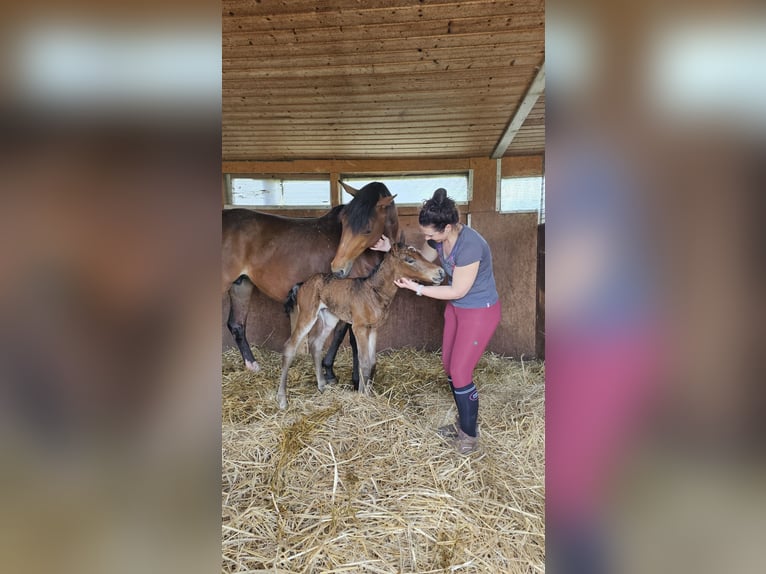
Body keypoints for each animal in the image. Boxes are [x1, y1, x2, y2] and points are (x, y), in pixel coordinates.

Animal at [222, 182, 400, 376]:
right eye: (343, 224)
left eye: (367, 229)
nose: (338, 268)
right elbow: (351, 339)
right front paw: (352, 376)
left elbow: (340, 334)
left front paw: (330, 370)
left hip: (241, 285)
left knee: (237, 325)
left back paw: (252, 365)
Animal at [278, 241, 444, 412]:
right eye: (409, 260)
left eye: (421, 255)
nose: (441, 272)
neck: (374, 292)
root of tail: (302, 284)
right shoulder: (359, 328)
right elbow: (364, 362)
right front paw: (362, 397)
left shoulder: (374, 328)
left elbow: (372, 363)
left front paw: (368, 393)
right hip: (307, 314)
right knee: (290, 346)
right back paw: (283, 400)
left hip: (329, 318)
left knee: (316, 344)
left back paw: (322, 386)